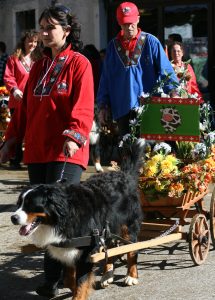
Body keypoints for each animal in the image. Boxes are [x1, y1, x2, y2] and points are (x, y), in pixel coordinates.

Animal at [10, 139, 144, 298]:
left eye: (31, 205)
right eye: (19, 203)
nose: (13, 218)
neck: (63, 217)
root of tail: (124, 174)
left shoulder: (86, 253)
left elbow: (81, 283)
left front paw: (78, 293)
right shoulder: (66, 250)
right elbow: (69, 279)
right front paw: (73, 288)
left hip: (128, 227)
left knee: (132, 249)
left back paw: (131, 276)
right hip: (107, 230)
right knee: (110, 249)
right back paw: (107, 275)